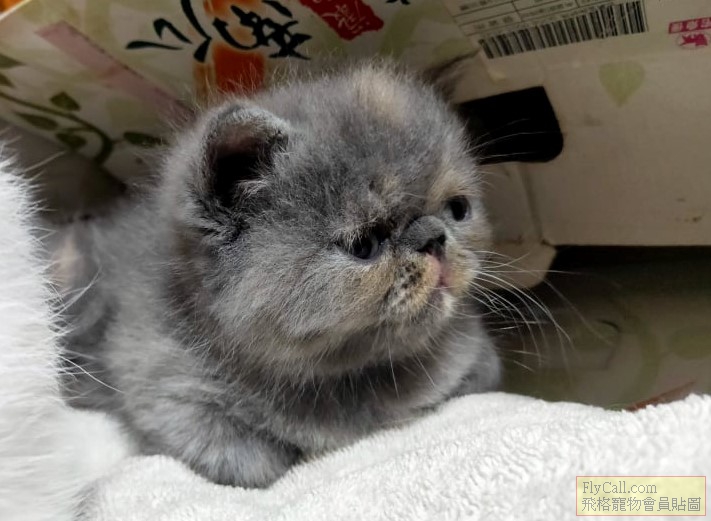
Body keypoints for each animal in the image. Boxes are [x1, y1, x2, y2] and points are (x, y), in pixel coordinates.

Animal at [58, 61, 501, 488]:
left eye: (458, 209)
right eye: (364, 245)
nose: (433, 237)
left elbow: (482, 372)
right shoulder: (157, 376)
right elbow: (247, 460)